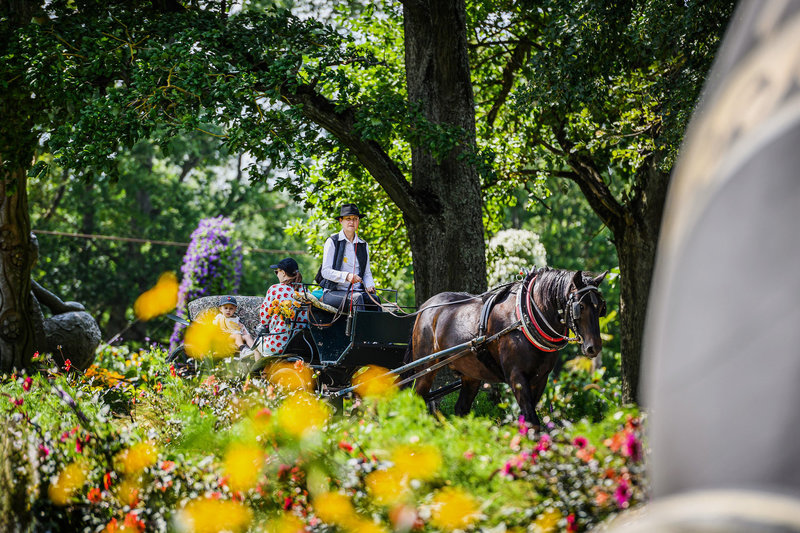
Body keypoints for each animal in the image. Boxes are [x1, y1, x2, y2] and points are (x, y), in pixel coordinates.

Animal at [406, 266, 608, 428]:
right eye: (580, 306)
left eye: (600, 308)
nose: (594, 347)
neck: (523, 318)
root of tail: (424, 308)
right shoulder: (516, 376)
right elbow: (532, 420)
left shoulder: (540, 379)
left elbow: (526, 418)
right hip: (425, 369)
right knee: (415, 400)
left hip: (471, 375)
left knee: (461, 409)